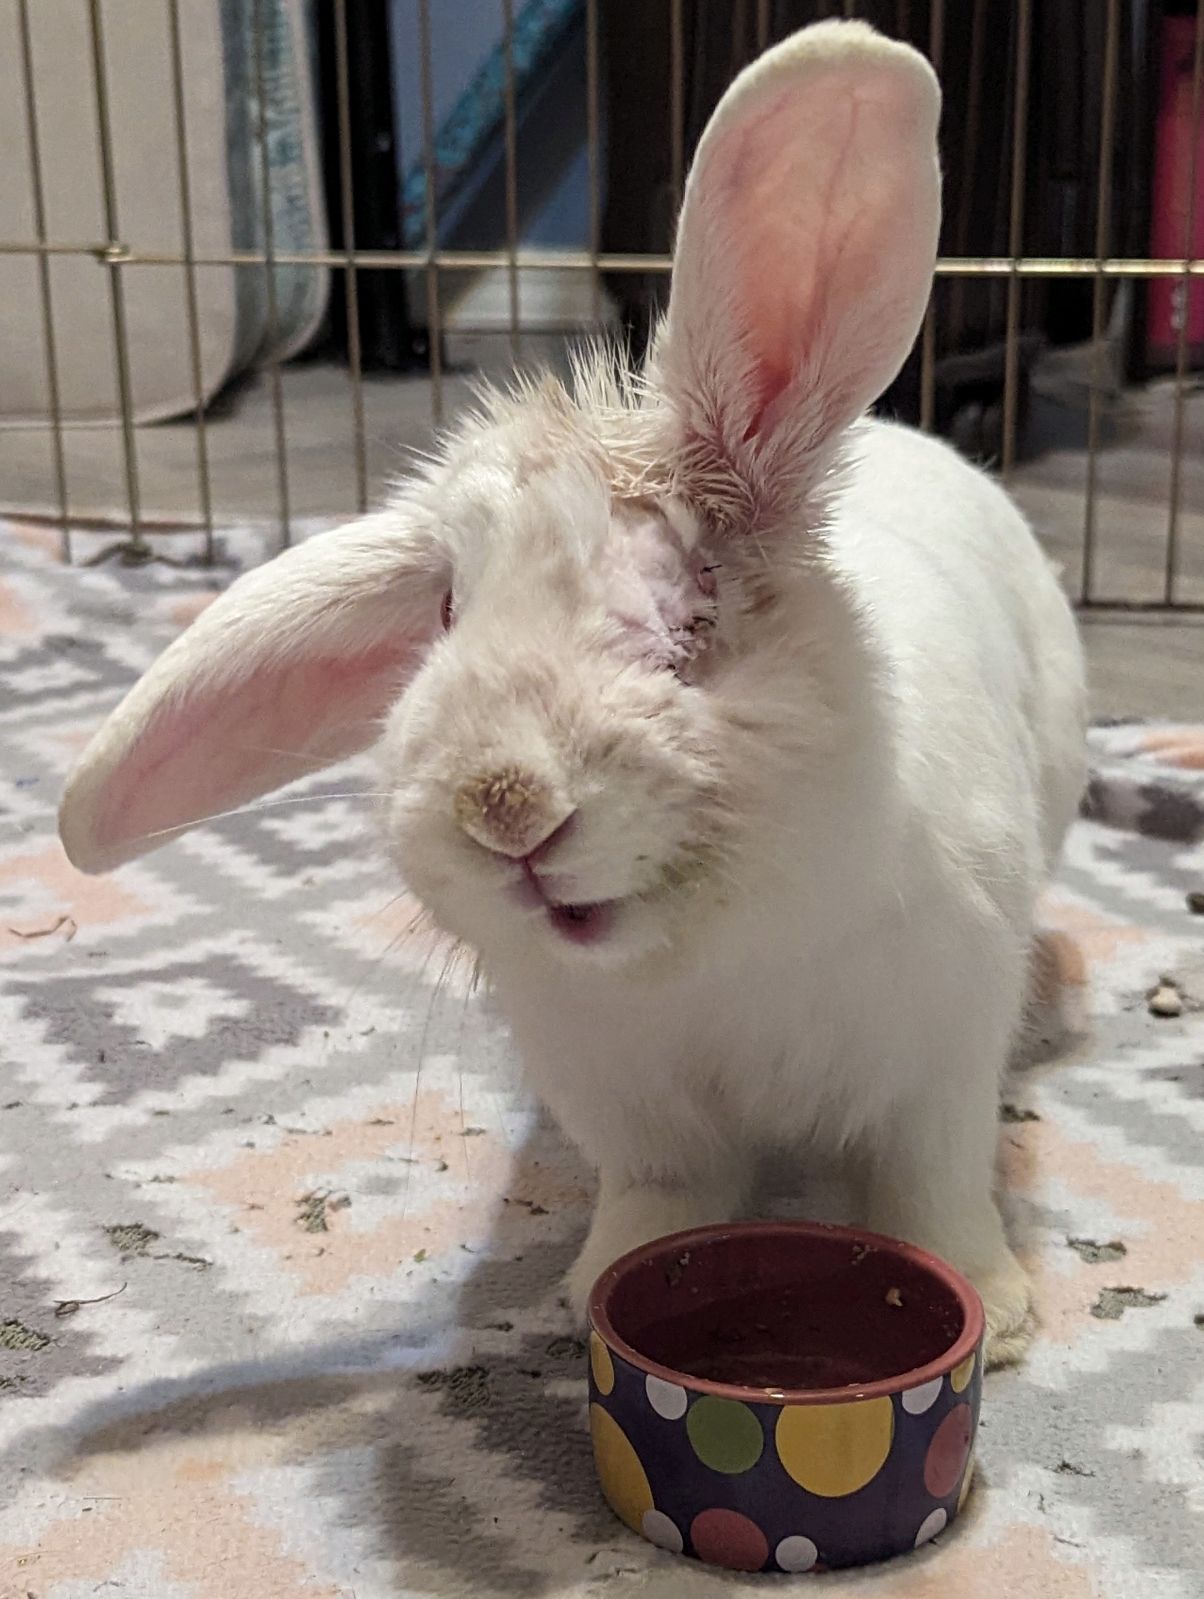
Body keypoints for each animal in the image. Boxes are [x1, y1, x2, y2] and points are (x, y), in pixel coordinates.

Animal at [59, 19, 1086, 1369]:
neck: (712, 960)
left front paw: (1002, 1315)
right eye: (446, 615)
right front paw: (589, 1290)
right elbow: (664, 1201)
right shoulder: (629, 1107)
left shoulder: (940, 1064)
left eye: (689, 606)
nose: (505, 807)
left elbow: (929, 1193)